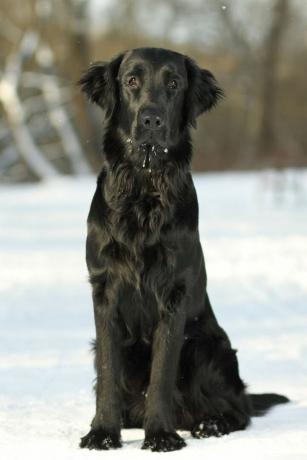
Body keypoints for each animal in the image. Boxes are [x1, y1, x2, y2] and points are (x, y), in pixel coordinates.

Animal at [79, 48, 288, 452]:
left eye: (174, 83)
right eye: (131, 80)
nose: (151, 119)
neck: (144, 190)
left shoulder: (174, 294)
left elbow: (162, 373)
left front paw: (161, 436)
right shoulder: (104, 291)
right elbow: (109, 373)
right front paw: (102, 433)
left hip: (206, 346)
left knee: (239, 409)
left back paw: (211, 424)